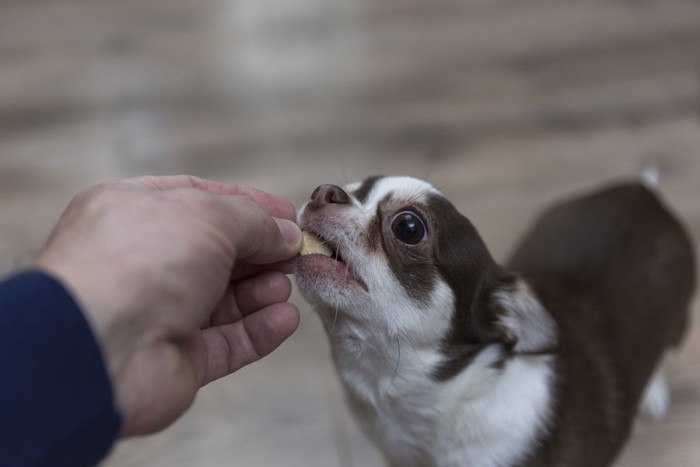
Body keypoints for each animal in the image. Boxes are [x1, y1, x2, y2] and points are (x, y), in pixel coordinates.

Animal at [294, 174, 696, 466]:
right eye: (352, 188)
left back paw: (653, 393)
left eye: (409, 227)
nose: (324, 191)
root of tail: (642, 191)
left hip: (680, 318)